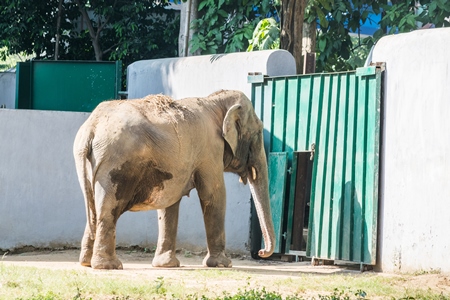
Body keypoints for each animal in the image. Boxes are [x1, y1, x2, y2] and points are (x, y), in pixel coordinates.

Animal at [73, 89, 274, 270]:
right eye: (258, 133)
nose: (261, 252)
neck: (214, 101)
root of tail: (91, 128)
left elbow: (169, 204)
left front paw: (166, 265)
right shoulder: (210, 150)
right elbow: (213, 194)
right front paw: (222, 264)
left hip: (92, 165)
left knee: (93, 208)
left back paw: (87, 263)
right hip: (116, 164)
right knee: (108, 209)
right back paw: (109, 266)